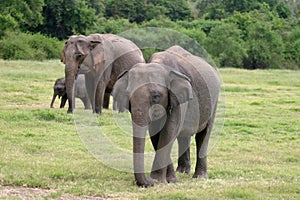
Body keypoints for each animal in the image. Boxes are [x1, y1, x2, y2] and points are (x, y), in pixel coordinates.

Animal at [112, 45, 220, 188]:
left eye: (156, 96)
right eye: (128, 96)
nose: (149, 182)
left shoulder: (179, 98)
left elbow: (169, 131)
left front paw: (158, 180)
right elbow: (157, 133)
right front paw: (171, 180)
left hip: (213, 101)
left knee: (203, 135)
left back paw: (200, 177)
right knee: (183, 137)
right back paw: (182, 172)